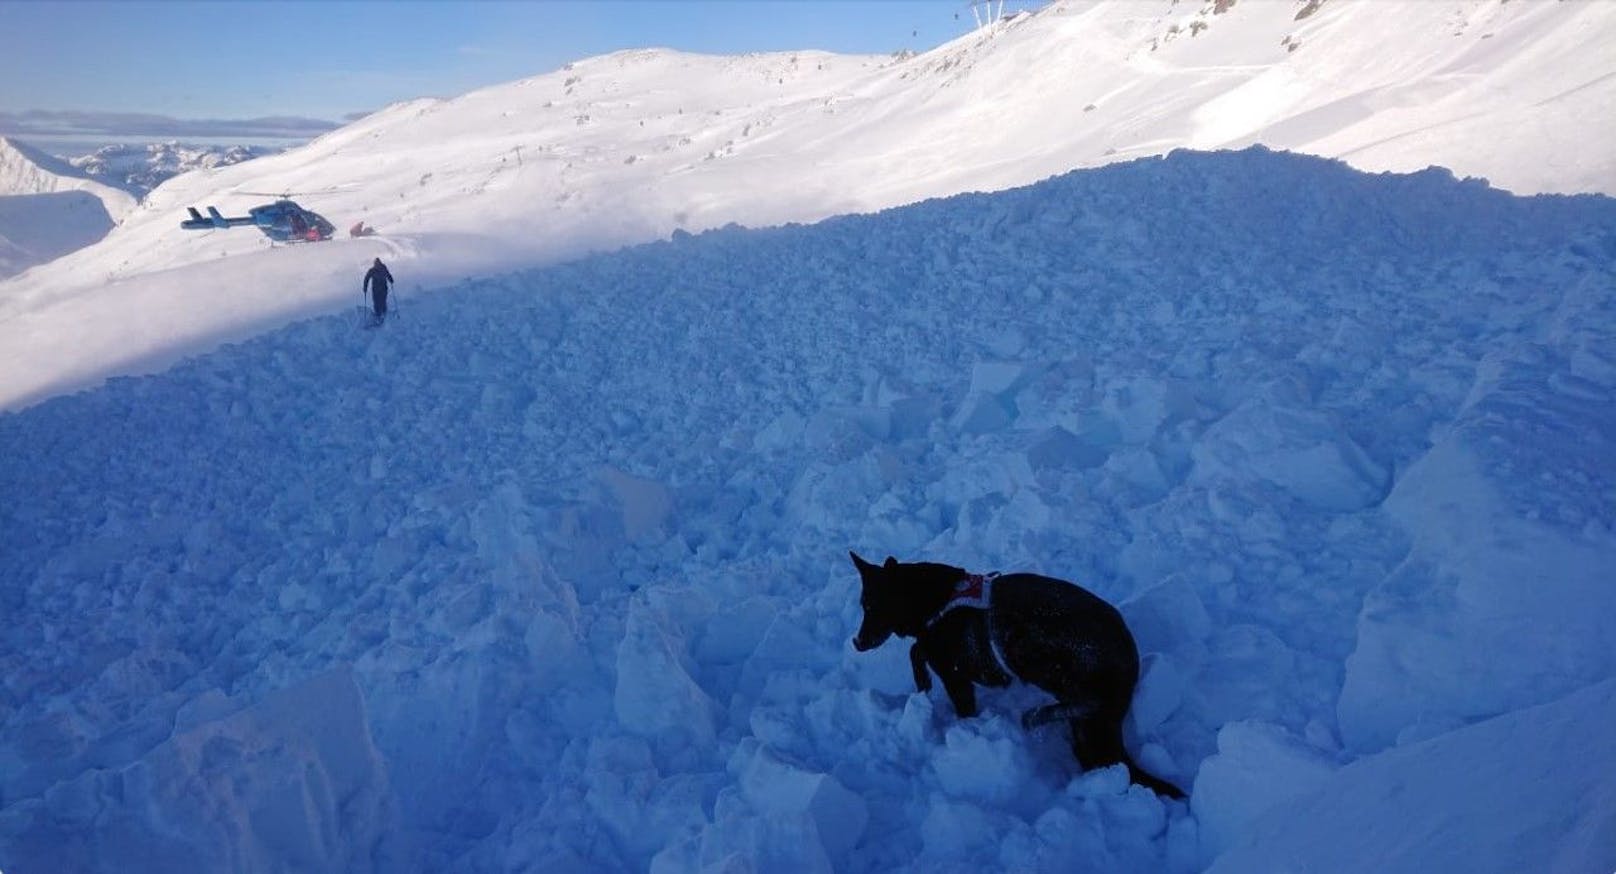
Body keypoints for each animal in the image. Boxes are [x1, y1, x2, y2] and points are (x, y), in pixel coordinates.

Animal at [853, 552, 1182, 798]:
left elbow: (940, 676)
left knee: (1085, 705)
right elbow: (917, 649)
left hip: (1032, 648)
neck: (933, 601)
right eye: (863, 605)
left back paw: (1038, 715)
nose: (857, 642)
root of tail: (1130, 662)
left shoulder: (957, 673)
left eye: (873, 606)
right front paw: (922, 682)